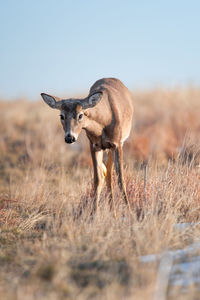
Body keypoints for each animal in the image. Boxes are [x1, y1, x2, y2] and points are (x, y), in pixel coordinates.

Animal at [40, 77, 134, 213]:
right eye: (61, 116)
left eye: (80, 115)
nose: (69, 137)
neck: (103, 122)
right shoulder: (94, 145)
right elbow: (97, 179)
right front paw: (94, 213)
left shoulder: (117, 144)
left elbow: (121, 179)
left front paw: (130, 212)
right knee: (107, 173)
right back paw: (113, 211)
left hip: (115, 145)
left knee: (110, 172)